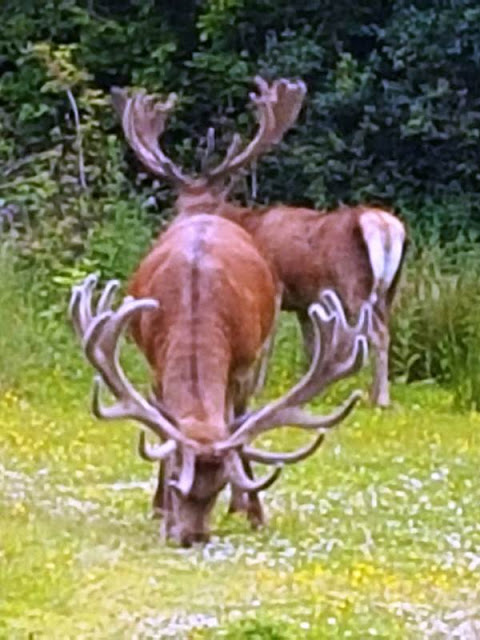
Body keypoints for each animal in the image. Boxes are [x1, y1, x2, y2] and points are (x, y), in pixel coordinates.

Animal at [70, 81, 372, 552]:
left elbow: (238, 430)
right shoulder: (154, 363)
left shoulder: (245, 360)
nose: (191, 536)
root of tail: (199, 195)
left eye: (213, 489)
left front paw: (252, 508)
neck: (195, 312)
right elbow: (163, 430)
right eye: (179, 481)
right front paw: (161, 509)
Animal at [111, 75, 404, 404]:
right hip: (390, 289)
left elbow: (268, 343)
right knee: (385, 327)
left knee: (377, 331)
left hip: (353, 284)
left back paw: (381, 398)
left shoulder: (276, 284)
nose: (179, 229)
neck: (243, 221)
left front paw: (261, 388)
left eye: (206, 207)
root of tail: (383, 226)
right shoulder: (303, 300)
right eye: (179, 204)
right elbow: (310, 344)